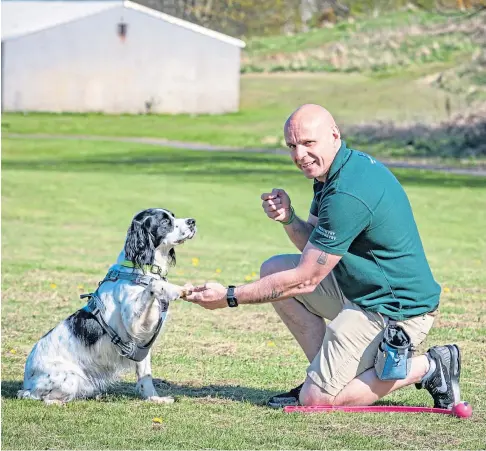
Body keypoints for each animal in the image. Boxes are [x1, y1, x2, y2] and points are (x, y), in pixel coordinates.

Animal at [17, 209, 196, 406]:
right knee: (36, 396)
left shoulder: (142, 343)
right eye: (165, 222)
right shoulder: (134, 323)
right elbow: (154, 285)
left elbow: (145, 376)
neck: (138, 271)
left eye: (173, 215)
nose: (193, 221)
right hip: (70, 379)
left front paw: (154, 398)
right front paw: (175, 289)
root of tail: (27, 381)